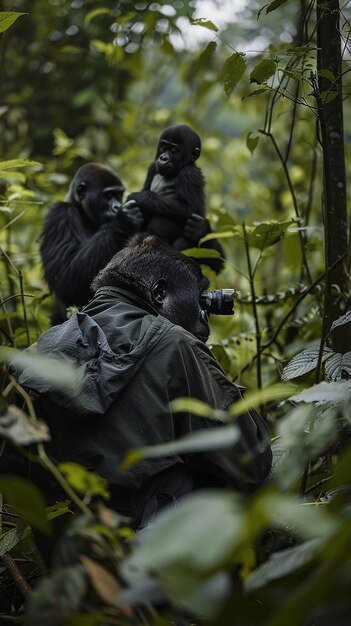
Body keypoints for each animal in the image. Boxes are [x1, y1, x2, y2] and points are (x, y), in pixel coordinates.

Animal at [39, 161, 142, 322]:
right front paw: (123, 221)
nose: (117, 207)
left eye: (119, 195)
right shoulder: (60, 216)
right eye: (108, 196)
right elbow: (65, 279)